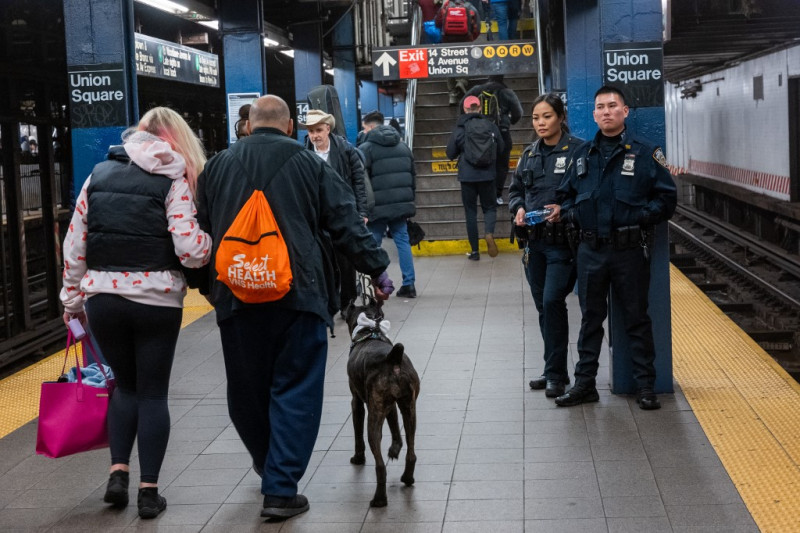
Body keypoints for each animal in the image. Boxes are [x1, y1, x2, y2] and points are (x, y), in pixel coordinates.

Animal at [342, 298, 418, 504]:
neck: (369, 329)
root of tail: (393, 359)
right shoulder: (390, 405)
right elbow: (395, 428)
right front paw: (394, 449)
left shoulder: (357, 402)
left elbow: (357, 433)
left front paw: (358, 457)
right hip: (409, 408)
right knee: (411, 450)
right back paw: (407, 477)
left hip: (374, 417)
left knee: (380, 464)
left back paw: (379, 500)